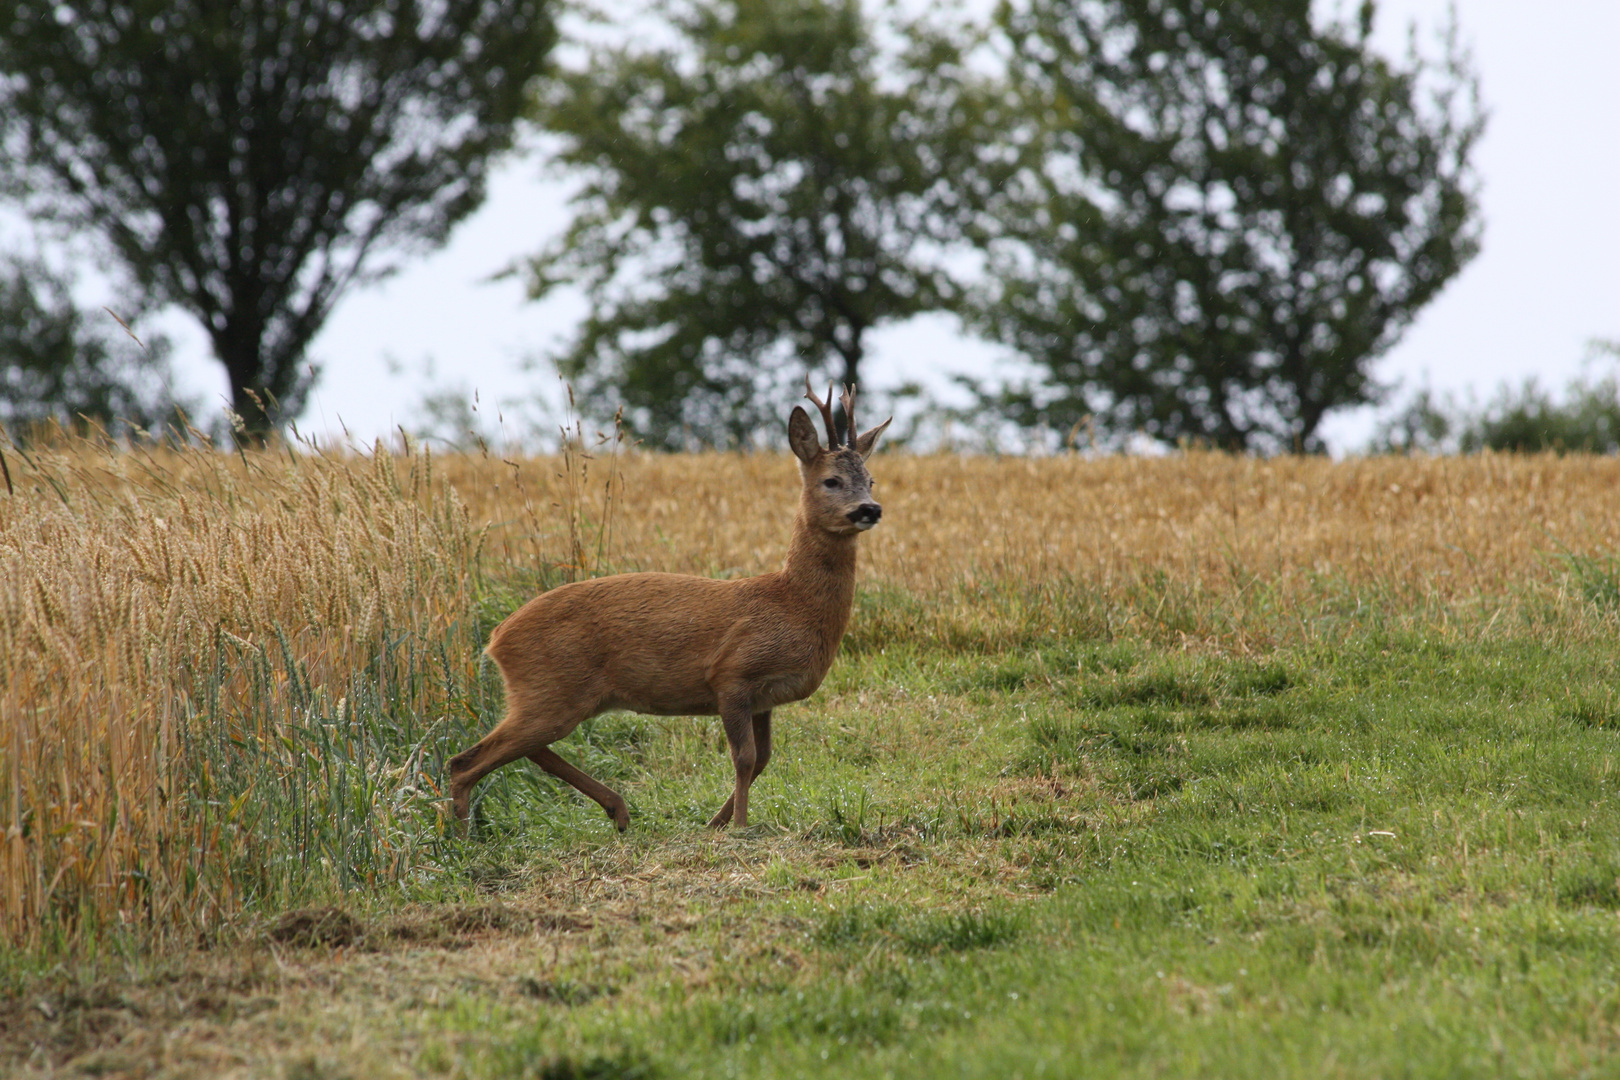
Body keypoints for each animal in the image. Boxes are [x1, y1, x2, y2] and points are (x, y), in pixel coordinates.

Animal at [450, 383, 894, 835]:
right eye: (831, 480)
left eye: (871, 480)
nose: (869, 508)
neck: (792, 603)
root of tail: (496, 639)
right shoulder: (733, 672)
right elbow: (745, 758)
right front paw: (739, 826)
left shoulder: (764, 698)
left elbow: (763, 759)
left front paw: (715, 823)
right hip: (548, 688)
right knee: (465, 760)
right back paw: (463, 838)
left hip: (549, 697)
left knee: (525, 751)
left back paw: (616, 811)